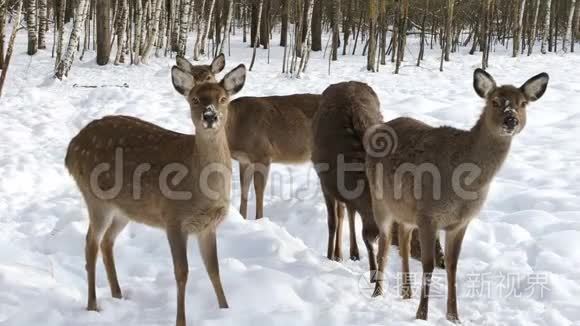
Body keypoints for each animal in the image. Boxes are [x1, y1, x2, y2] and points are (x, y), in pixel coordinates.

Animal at [65, 64, 247, 326]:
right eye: (194, 99)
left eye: (223, 99)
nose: (210, 116)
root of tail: (70, 149)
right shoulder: (173, 218)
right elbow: (182, 272)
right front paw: (181, 321)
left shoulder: (208, 225)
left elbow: (214, 269)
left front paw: (226, 311)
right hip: (95, 198)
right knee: (91, 243)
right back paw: (92, 305)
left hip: (124, 209)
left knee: (107, 241)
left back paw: (118, 294)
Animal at [368, 70, 548, 322]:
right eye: (494, 101)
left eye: (522, 104)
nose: (511, 120)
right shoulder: (429, 214)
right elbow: (429, 264)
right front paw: (422, 315)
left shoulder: (460, 222)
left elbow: (452, 266)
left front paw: (454, 316)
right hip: (379, 198)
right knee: (384, 243)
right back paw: (377, 292)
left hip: (406, 209)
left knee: (403, 239)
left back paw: (406, 293)